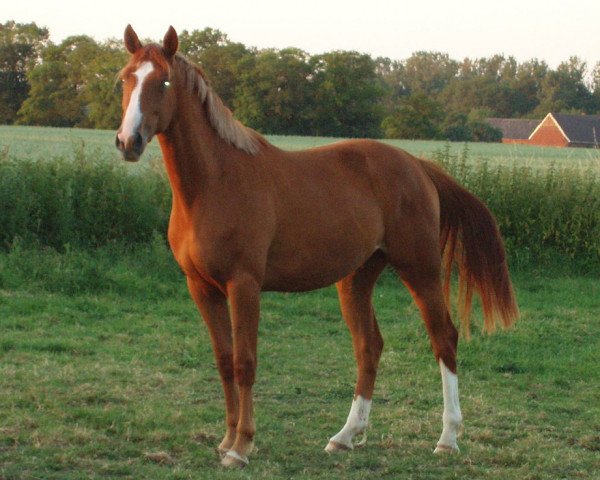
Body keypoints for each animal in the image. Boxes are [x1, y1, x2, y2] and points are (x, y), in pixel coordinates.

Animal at [115, 24, 516, 466]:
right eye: (126, 79)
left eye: (164, 81)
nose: (128, 141)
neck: (214, 183)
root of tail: (418, 166)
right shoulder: (201, 288)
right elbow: (224, 362)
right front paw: (226, 438)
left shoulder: (244, 285)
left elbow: (245, 362)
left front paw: (242, 445)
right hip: (356, 279)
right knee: (369, 346)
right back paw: (345, 435)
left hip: (420, 269)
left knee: (444, 338)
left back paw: (447, 437)